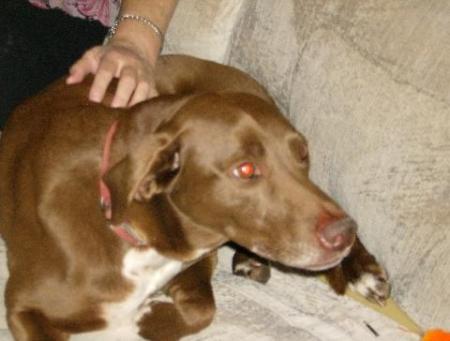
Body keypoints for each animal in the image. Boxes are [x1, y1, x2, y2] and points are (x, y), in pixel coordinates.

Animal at [0, 54, 386, 338]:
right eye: (245, 169)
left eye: (302, 154)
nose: (343, 234)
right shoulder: (22, 305)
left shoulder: (196, 258)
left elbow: (202, 309)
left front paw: (145, 319)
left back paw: (363, 270)